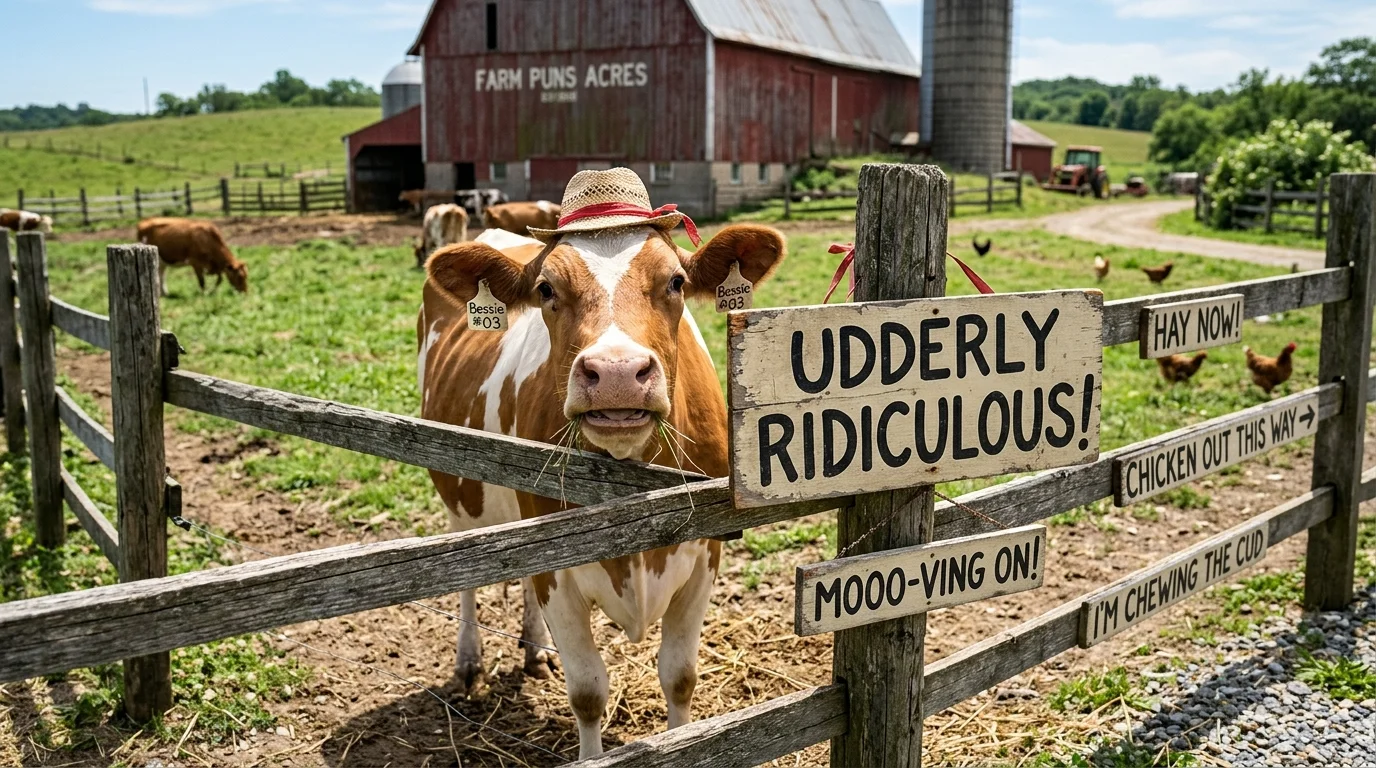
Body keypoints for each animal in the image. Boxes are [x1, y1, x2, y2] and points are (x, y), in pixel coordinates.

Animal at [418, 171, 784, 758]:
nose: (615, 373)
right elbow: (588, 692)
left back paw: (534, 650)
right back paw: (469, 661)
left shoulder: (705, 554)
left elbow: (679, 677)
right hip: (460, 492)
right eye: (546, 289)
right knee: (468, 576)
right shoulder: (558, 572)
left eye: (677, 281)